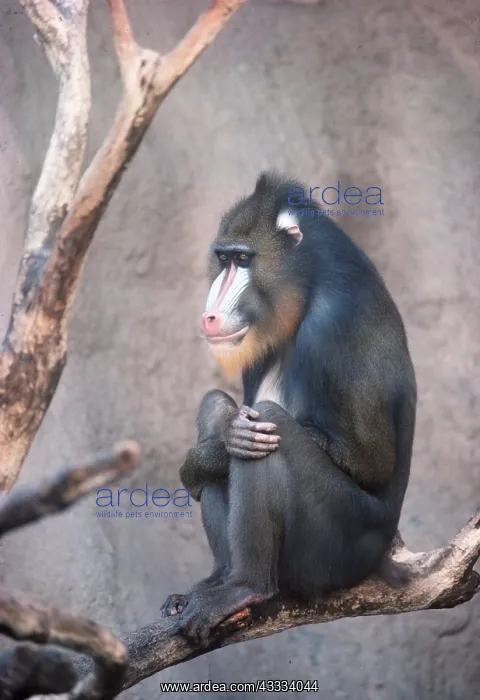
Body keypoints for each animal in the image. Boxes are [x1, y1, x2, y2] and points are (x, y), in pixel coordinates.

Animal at [161, 171, 417, 647]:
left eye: (244, 260)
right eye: (223, 258)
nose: (210, 316)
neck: (307, 288)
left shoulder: (334, 326)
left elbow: (371, 464)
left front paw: (224, 447)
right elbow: (227, 414)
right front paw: (207, 454)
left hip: (335, 551)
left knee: (270, 423)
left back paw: (246, 587)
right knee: (217, 403)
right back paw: (216, 581)